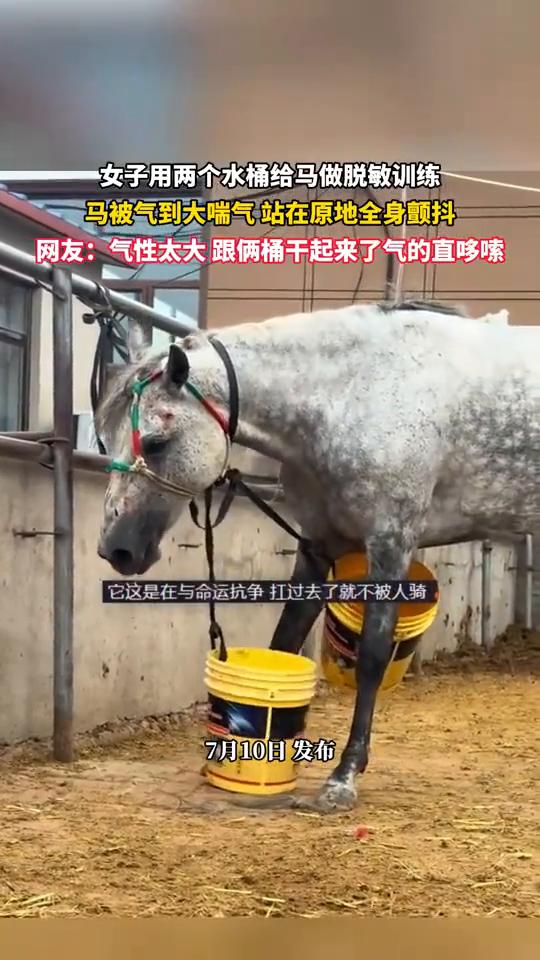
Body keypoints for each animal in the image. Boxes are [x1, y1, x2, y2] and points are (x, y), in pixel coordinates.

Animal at [95, 299, 540, 813]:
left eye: (156, 442)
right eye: (104, 439)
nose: (115, 547)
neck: (356, 393)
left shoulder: (391, 542)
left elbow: (371, 658)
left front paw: (343, 777)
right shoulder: (316, 545)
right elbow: (283, 643)